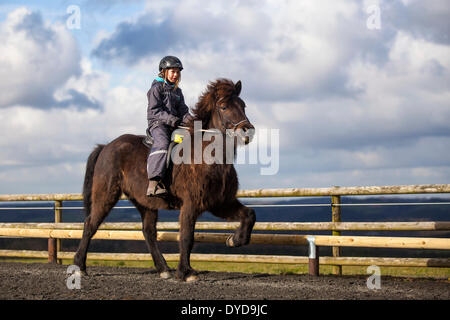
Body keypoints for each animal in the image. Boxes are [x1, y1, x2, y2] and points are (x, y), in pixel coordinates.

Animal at [75, 79, 255, 282]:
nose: (247, 131)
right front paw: (186, 272)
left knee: (148, 232)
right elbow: (186, 237)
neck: (208, 156)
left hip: (145, 202)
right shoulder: (191, 204)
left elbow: (249, 214)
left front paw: (235, 240)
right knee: (90, 224)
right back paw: (80, 267)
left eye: (243, 105)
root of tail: (106, 147)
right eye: (224, 107)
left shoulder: (220, 202)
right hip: (106, 195)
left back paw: (163, 269)